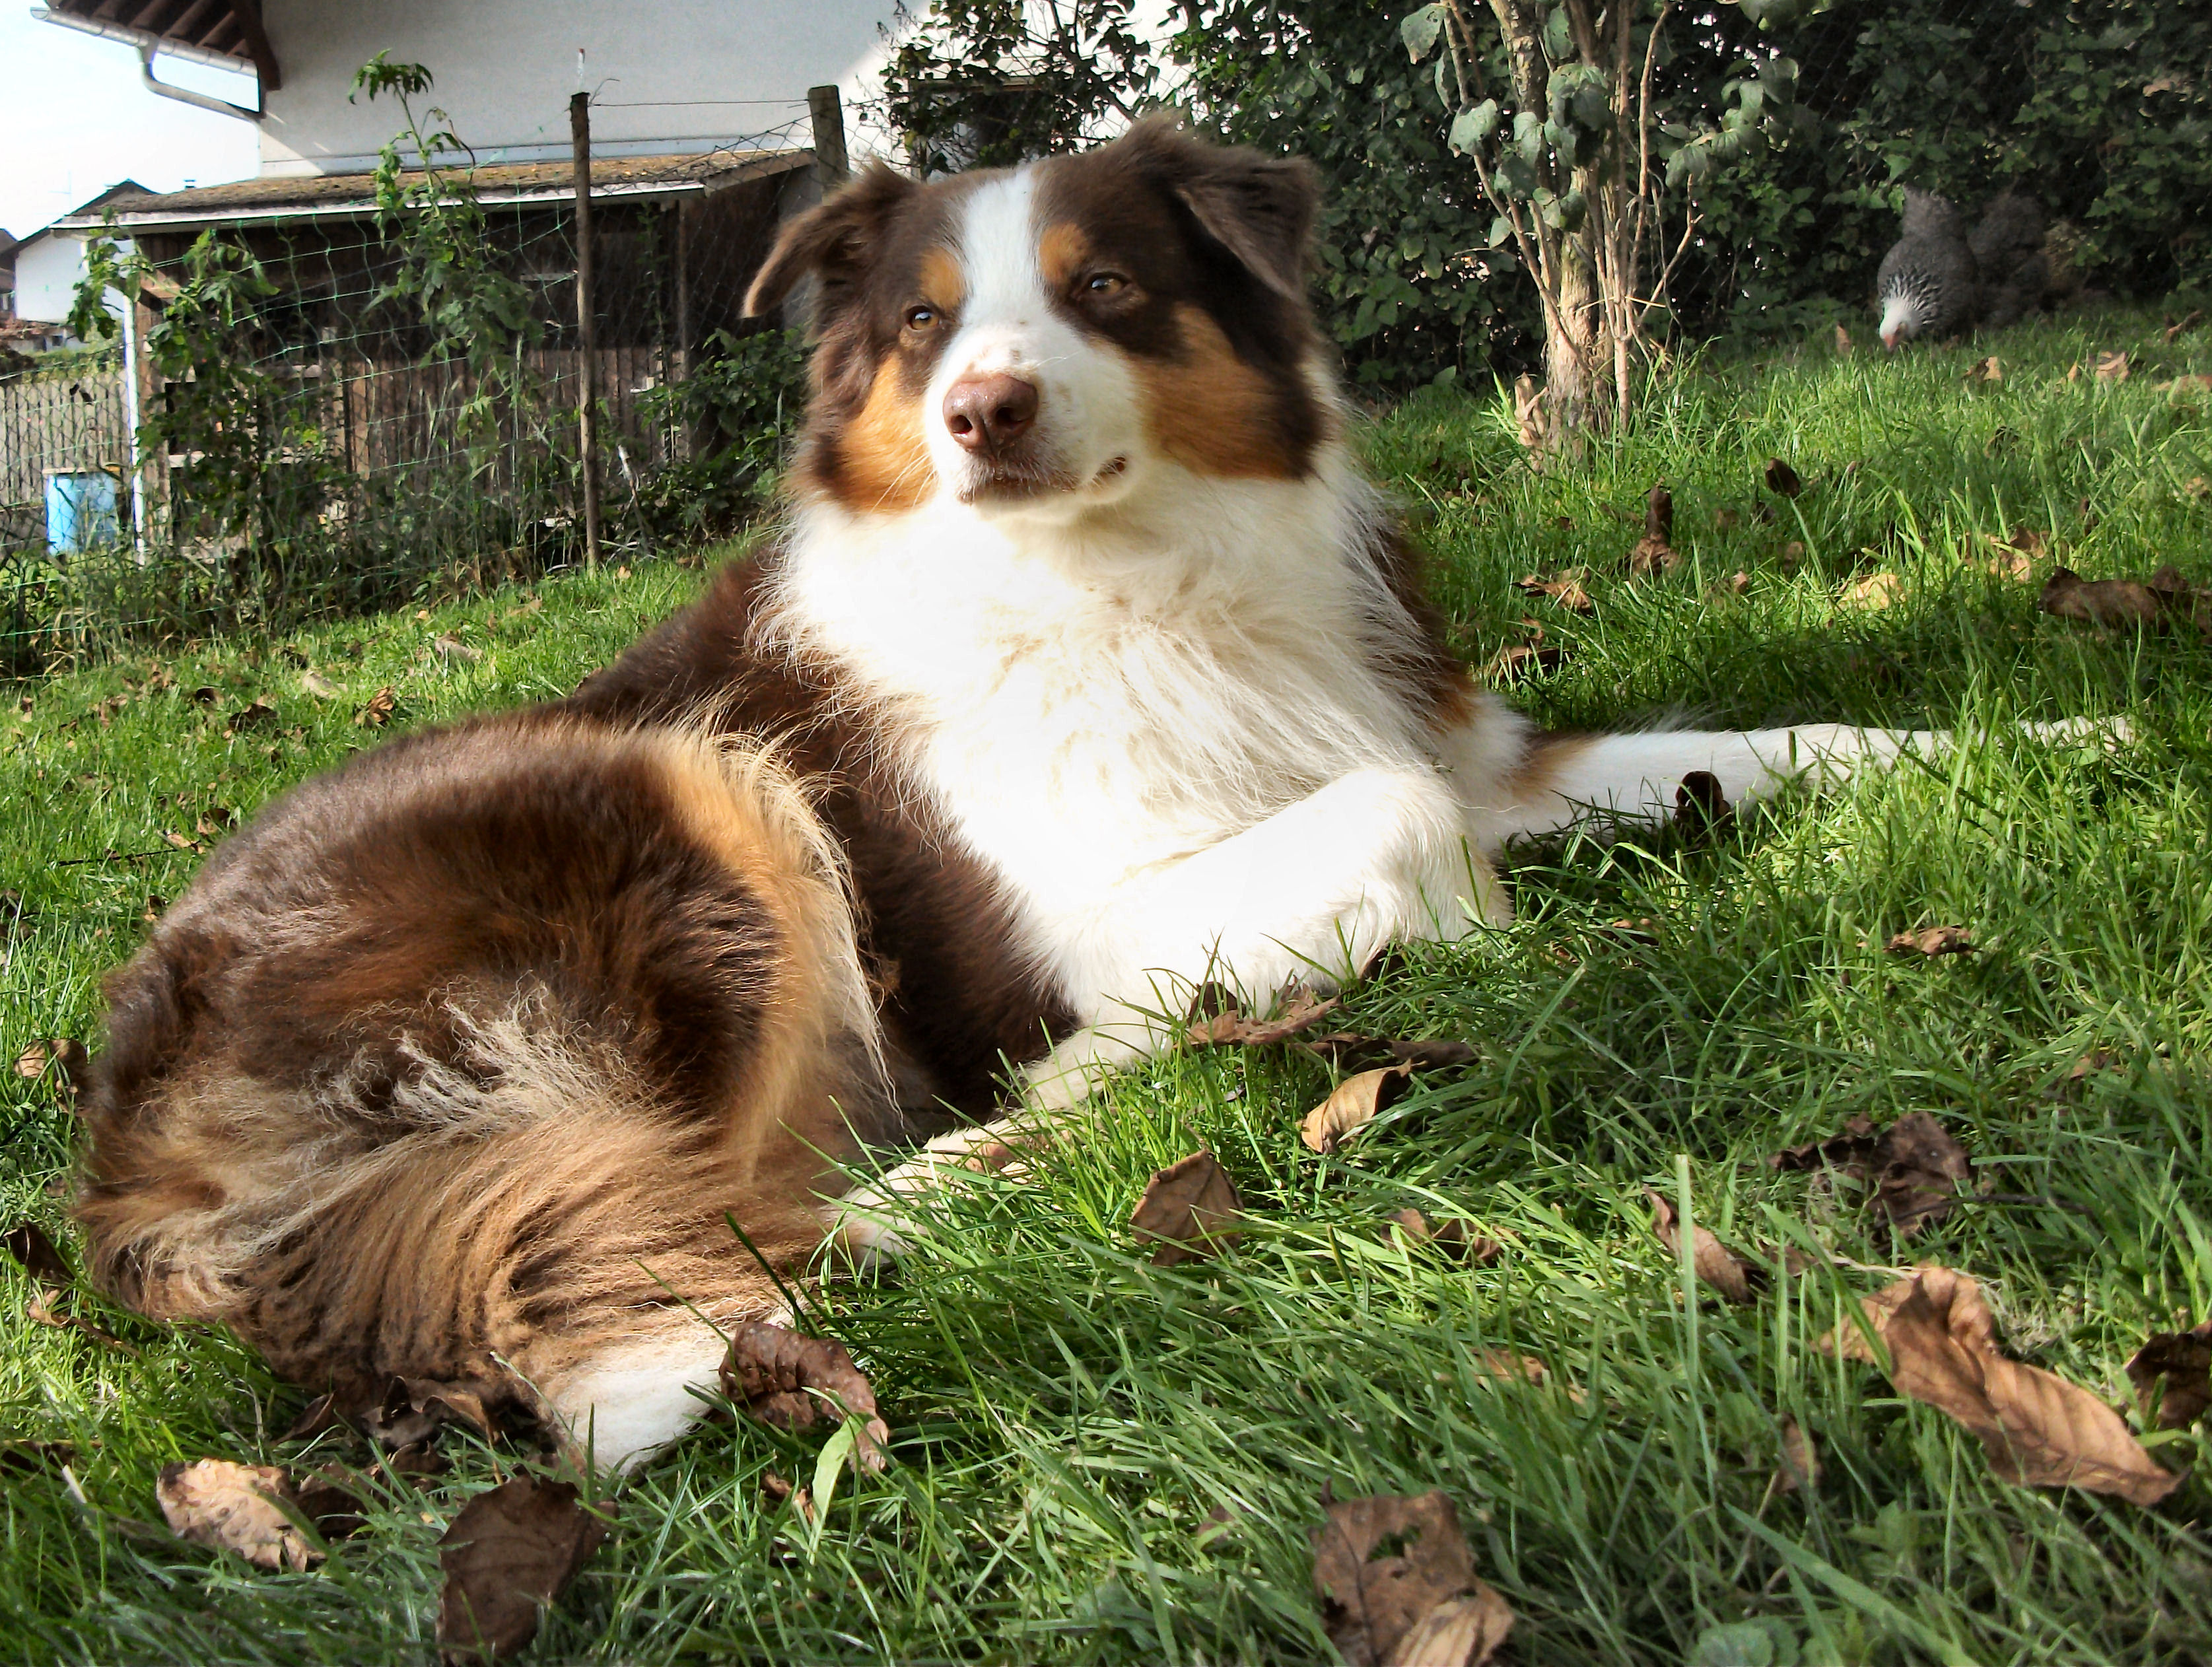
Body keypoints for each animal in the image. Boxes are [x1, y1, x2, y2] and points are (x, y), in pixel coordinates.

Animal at [78, 119, 2017, 1468]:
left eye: (1104, 290)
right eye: (923, 322)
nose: (982, 411)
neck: (1142, 574)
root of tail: (119, 1130)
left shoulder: (1467, 745)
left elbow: (1763, 742)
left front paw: (2025, 742)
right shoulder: (1082, 917)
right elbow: (1395, 824)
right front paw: (1198, 1026)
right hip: (694, 794)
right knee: (720, 1214)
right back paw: (964, 1170)